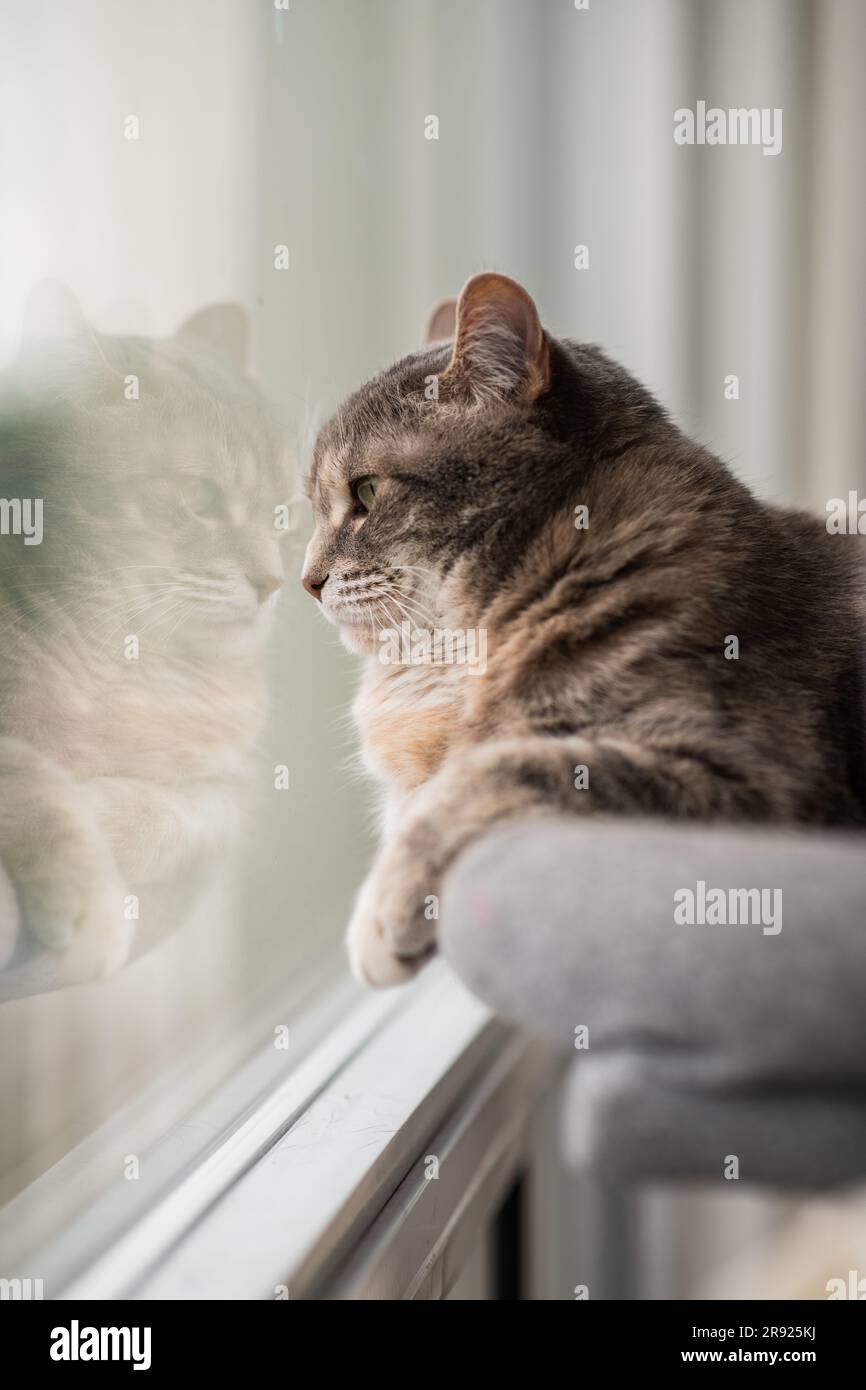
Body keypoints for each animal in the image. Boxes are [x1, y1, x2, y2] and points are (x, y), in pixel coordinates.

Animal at [0, 287, 291, 989]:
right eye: (197, 496)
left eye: (285, 511)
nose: (273, 581)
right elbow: (26, 771)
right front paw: (87, 892)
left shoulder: (230, 791)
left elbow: (177, 819)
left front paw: (104, 810)